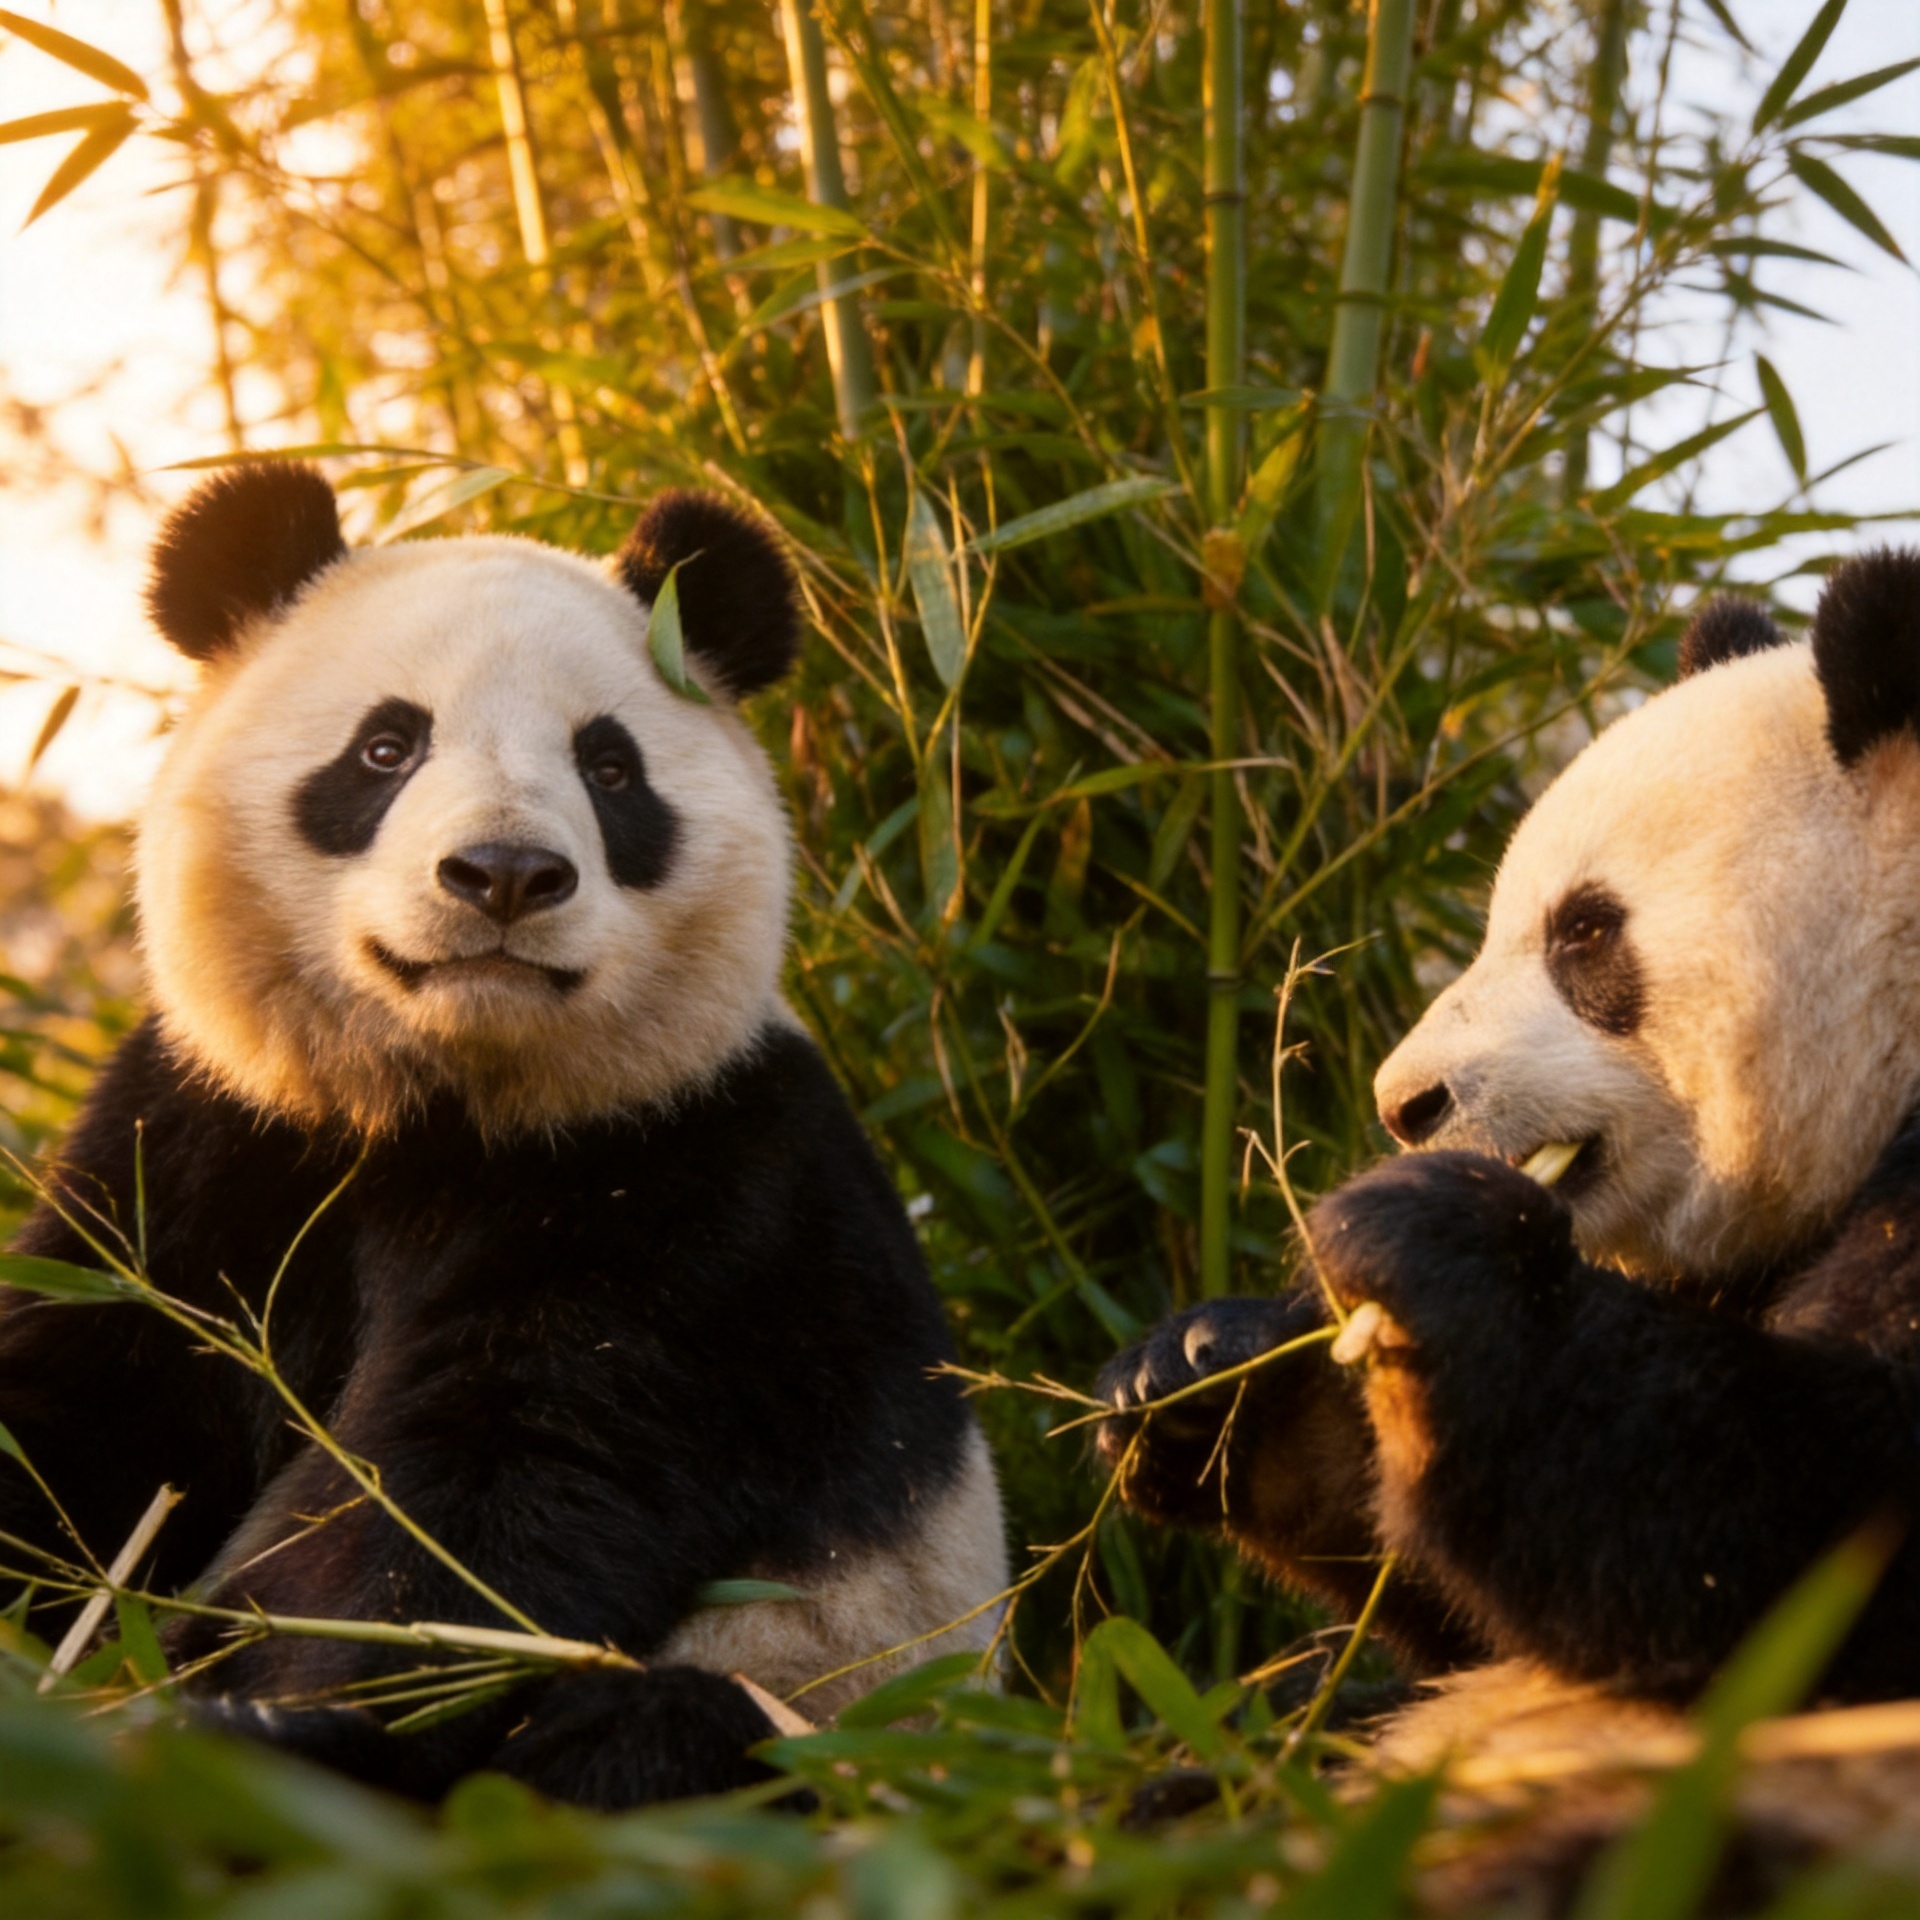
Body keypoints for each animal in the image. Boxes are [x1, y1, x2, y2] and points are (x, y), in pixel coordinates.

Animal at [0, 462, 1007, 1808]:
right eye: (386, 747)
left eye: (612, 769)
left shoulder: (694, 1178)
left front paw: (273, 1723)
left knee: (682, 1733)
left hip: (853, 1696)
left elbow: (484, 1507)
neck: (440, 1108)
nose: (505, 874)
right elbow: (87, 1415)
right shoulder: (207, 1142)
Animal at [1098, 551, 1920, 1886]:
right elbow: (1462, 1606)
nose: (1406, 1105)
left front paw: (1418, 1242)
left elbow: (1804, 1526)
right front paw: (1208, 1379)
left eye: (1584, 931)